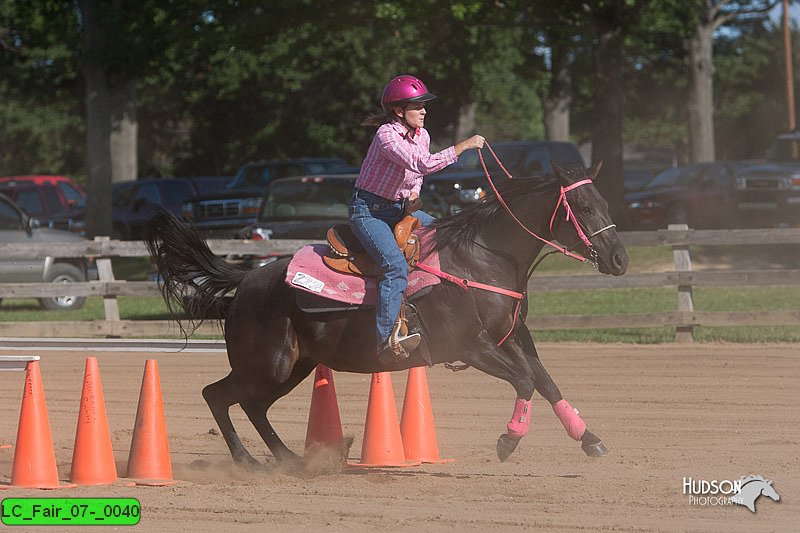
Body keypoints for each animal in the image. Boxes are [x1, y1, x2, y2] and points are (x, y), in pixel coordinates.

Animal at [147, 161, 628, 466]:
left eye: (606, 203)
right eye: (584, 208)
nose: (620, 259)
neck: (479, 258)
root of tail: (245, 282)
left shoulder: (513, 335)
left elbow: (545, 381)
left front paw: (590, 440)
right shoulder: (471, 346)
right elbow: (526, 380)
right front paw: (508, 441)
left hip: (294, 367)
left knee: (253, 406)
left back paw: (291, 459)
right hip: (268, 364)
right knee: (218, 396)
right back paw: (248, 459)